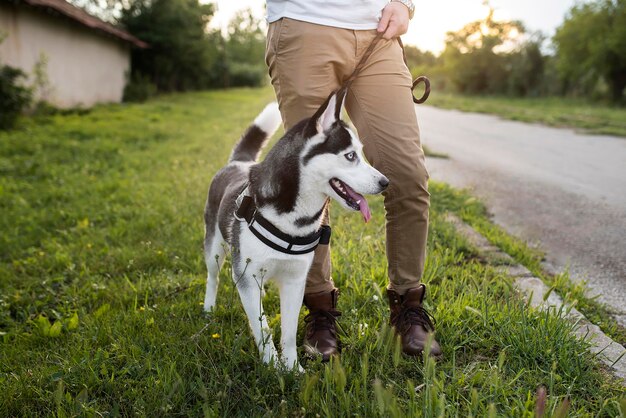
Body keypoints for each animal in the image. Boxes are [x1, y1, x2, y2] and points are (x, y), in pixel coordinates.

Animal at [202, 90, 388, 370]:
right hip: (215, 249)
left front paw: (291, 368)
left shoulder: (295, 280)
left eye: (361, 154)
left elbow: (288, 332)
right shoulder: (246, 277)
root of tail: (238, 163)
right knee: (213, 277)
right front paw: (271, 365)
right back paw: (209, 308)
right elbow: (262, 328)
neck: (293, 217)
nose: (385, 182)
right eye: (350, 156)